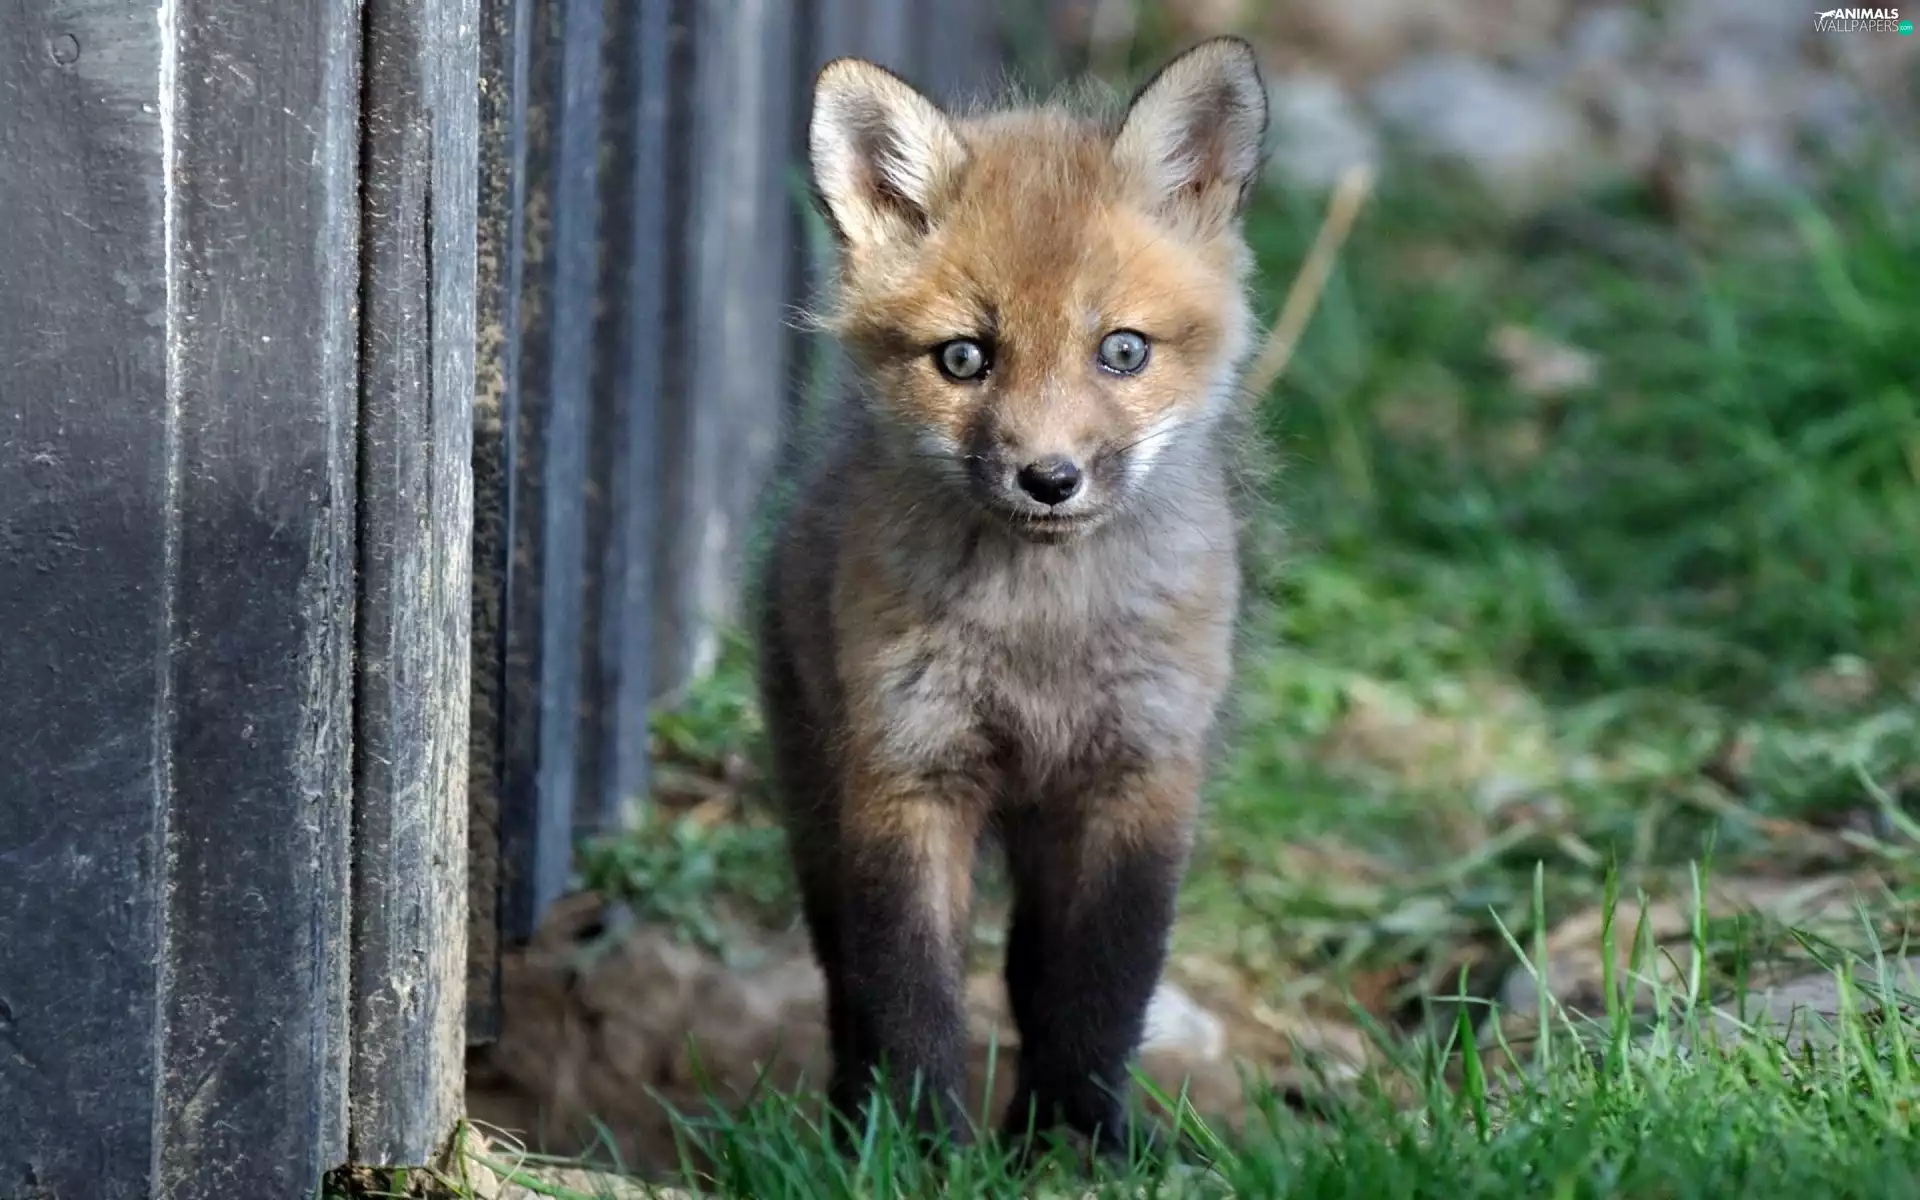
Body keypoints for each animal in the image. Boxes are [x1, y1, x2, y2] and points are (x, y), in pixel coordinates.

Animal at [754, 37, 1270, 1156]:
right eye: (964, 357)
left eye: (1122, 350)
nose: (1049, 478)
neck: (1042, 638)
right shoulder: (907, 773)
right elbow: (908, 992)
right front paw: (917, 1151)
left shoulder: (1138, 779)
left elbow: (1099, 992)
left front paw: (1078, 1144)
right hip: (817, 796)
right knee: (843, 978)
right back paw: (849, 1123)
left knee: (1035, 974)